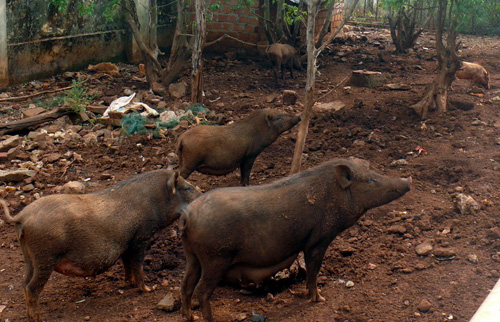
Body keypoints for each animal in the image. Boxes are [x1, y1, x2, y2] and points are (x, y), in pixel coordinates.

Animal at [2, 170, 201, 322]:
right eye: (187, 188)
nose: (202, 195)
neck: (155, 200)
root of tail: (22, 216)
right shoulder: (141, 238)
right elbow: (138, 265)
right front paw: (148, 289)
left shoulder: (126, 244)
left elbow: (127, 265)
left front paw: (129, 283)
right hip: (44, 258)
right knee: (31, 288)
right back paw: (39, 319)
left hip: (30, 259)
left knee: (24, 283)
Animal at [180, 158, 410, 322]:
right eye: (370, 180)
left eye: (375, 173)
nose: (408, 180)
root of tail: (188, 214)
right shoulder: (319, 238)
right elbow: (314, 269)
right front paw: (319, 299)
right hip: (215, 257)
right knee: (202, 290)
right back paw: (208, 319)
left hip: (192, 256)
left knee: (186, 285)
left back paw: (190, 316)